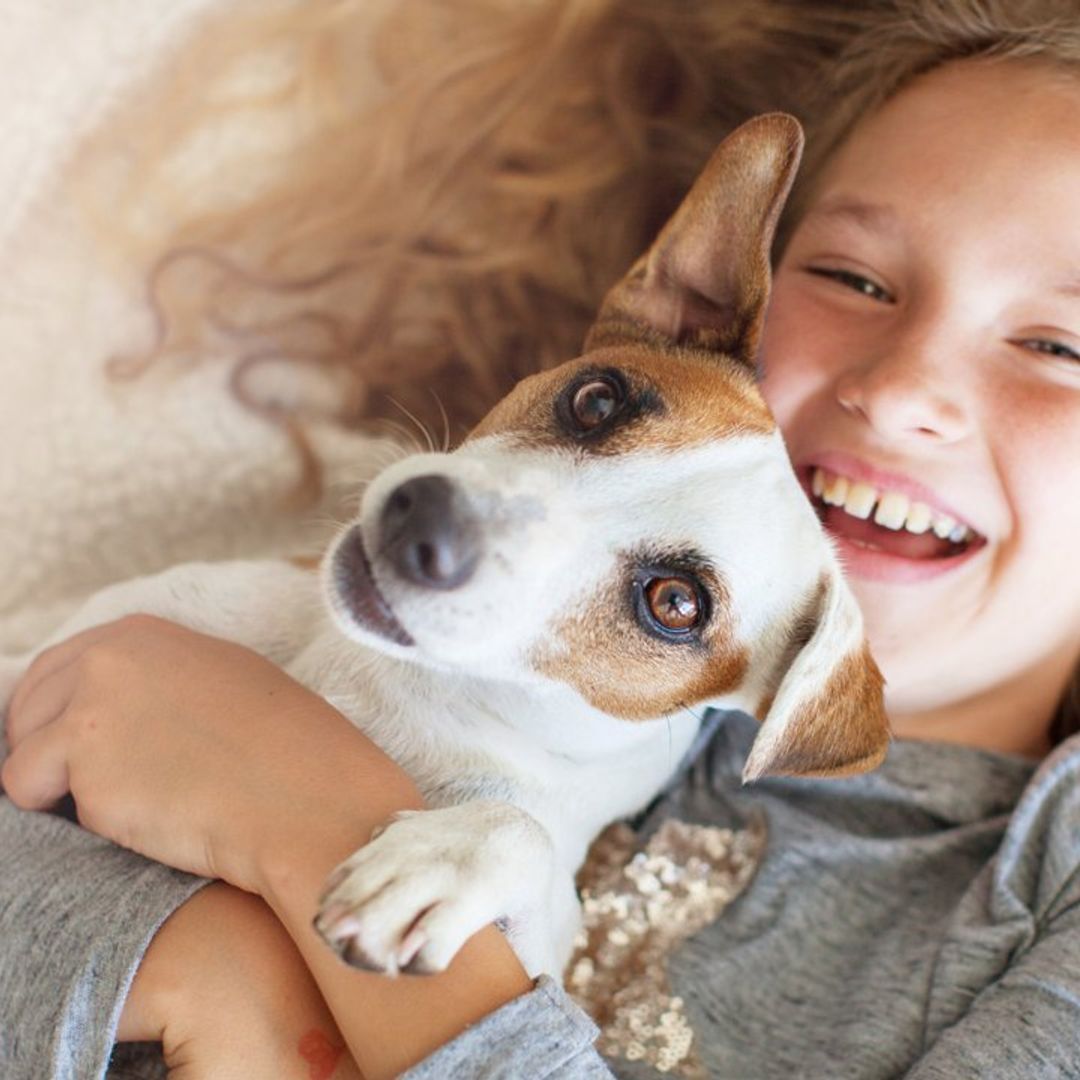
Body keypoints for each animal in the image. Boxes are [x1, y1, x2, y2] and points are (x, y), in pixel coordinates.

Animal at [4, 116, 889, 980]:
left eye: (675, 603)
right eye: (596, 400)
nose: (422, 518)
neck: (403, 681)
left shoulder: (545, 933)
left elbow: (521, 835)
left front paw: (439, 866)